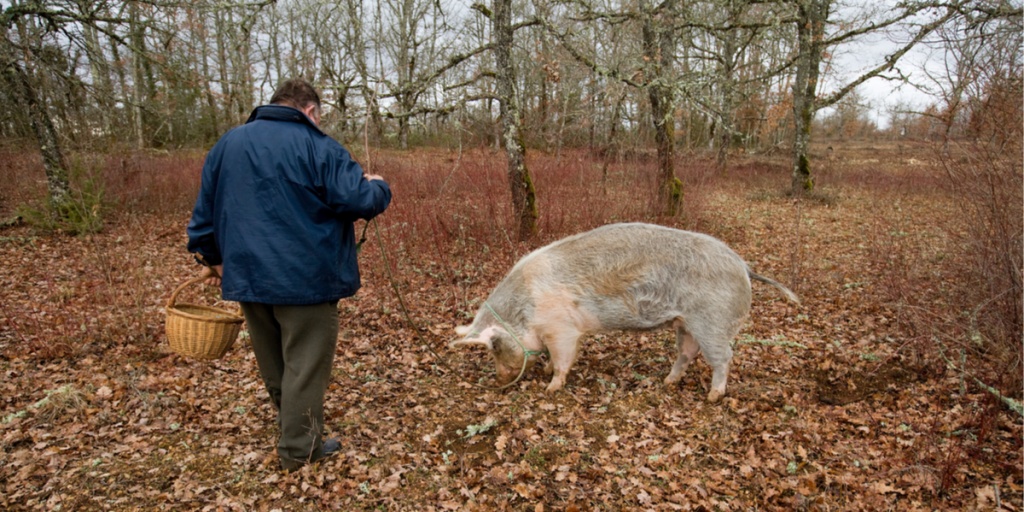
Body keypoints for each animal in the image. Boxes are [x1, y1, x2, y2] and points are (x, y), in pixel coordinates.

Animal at [450, 222, 798, 401]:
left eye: (494, 346)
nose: (497, 382)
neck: (525, 310)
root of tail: (743, 266)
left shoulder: (562, 329)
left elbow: (562, 359)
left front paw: (551, 387)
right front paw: (547, 371)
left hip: (713, 322)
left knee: (723, 357)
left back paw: (713, 396)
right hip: (685, 323)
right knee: (687, 353)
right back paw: (667, 382)